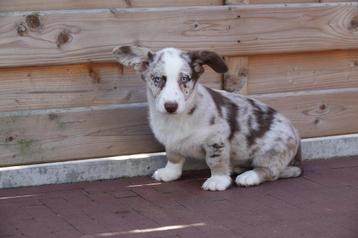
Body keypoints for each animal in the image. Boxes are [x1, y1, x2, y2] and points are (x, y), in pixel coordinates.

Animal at [112, 46, 302, 192]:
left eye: (185, 78)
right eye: (157, 79)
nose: (170, 106)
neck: (177, 119)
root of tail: (296, 134)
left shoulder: (216, 139)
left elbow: (216, 161)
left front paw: (218, 181)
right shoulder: (171, 142)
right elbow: (173, 158)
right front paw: (169, 174)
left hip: (270, 152)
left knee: (272, 171)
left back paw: (248, 176)